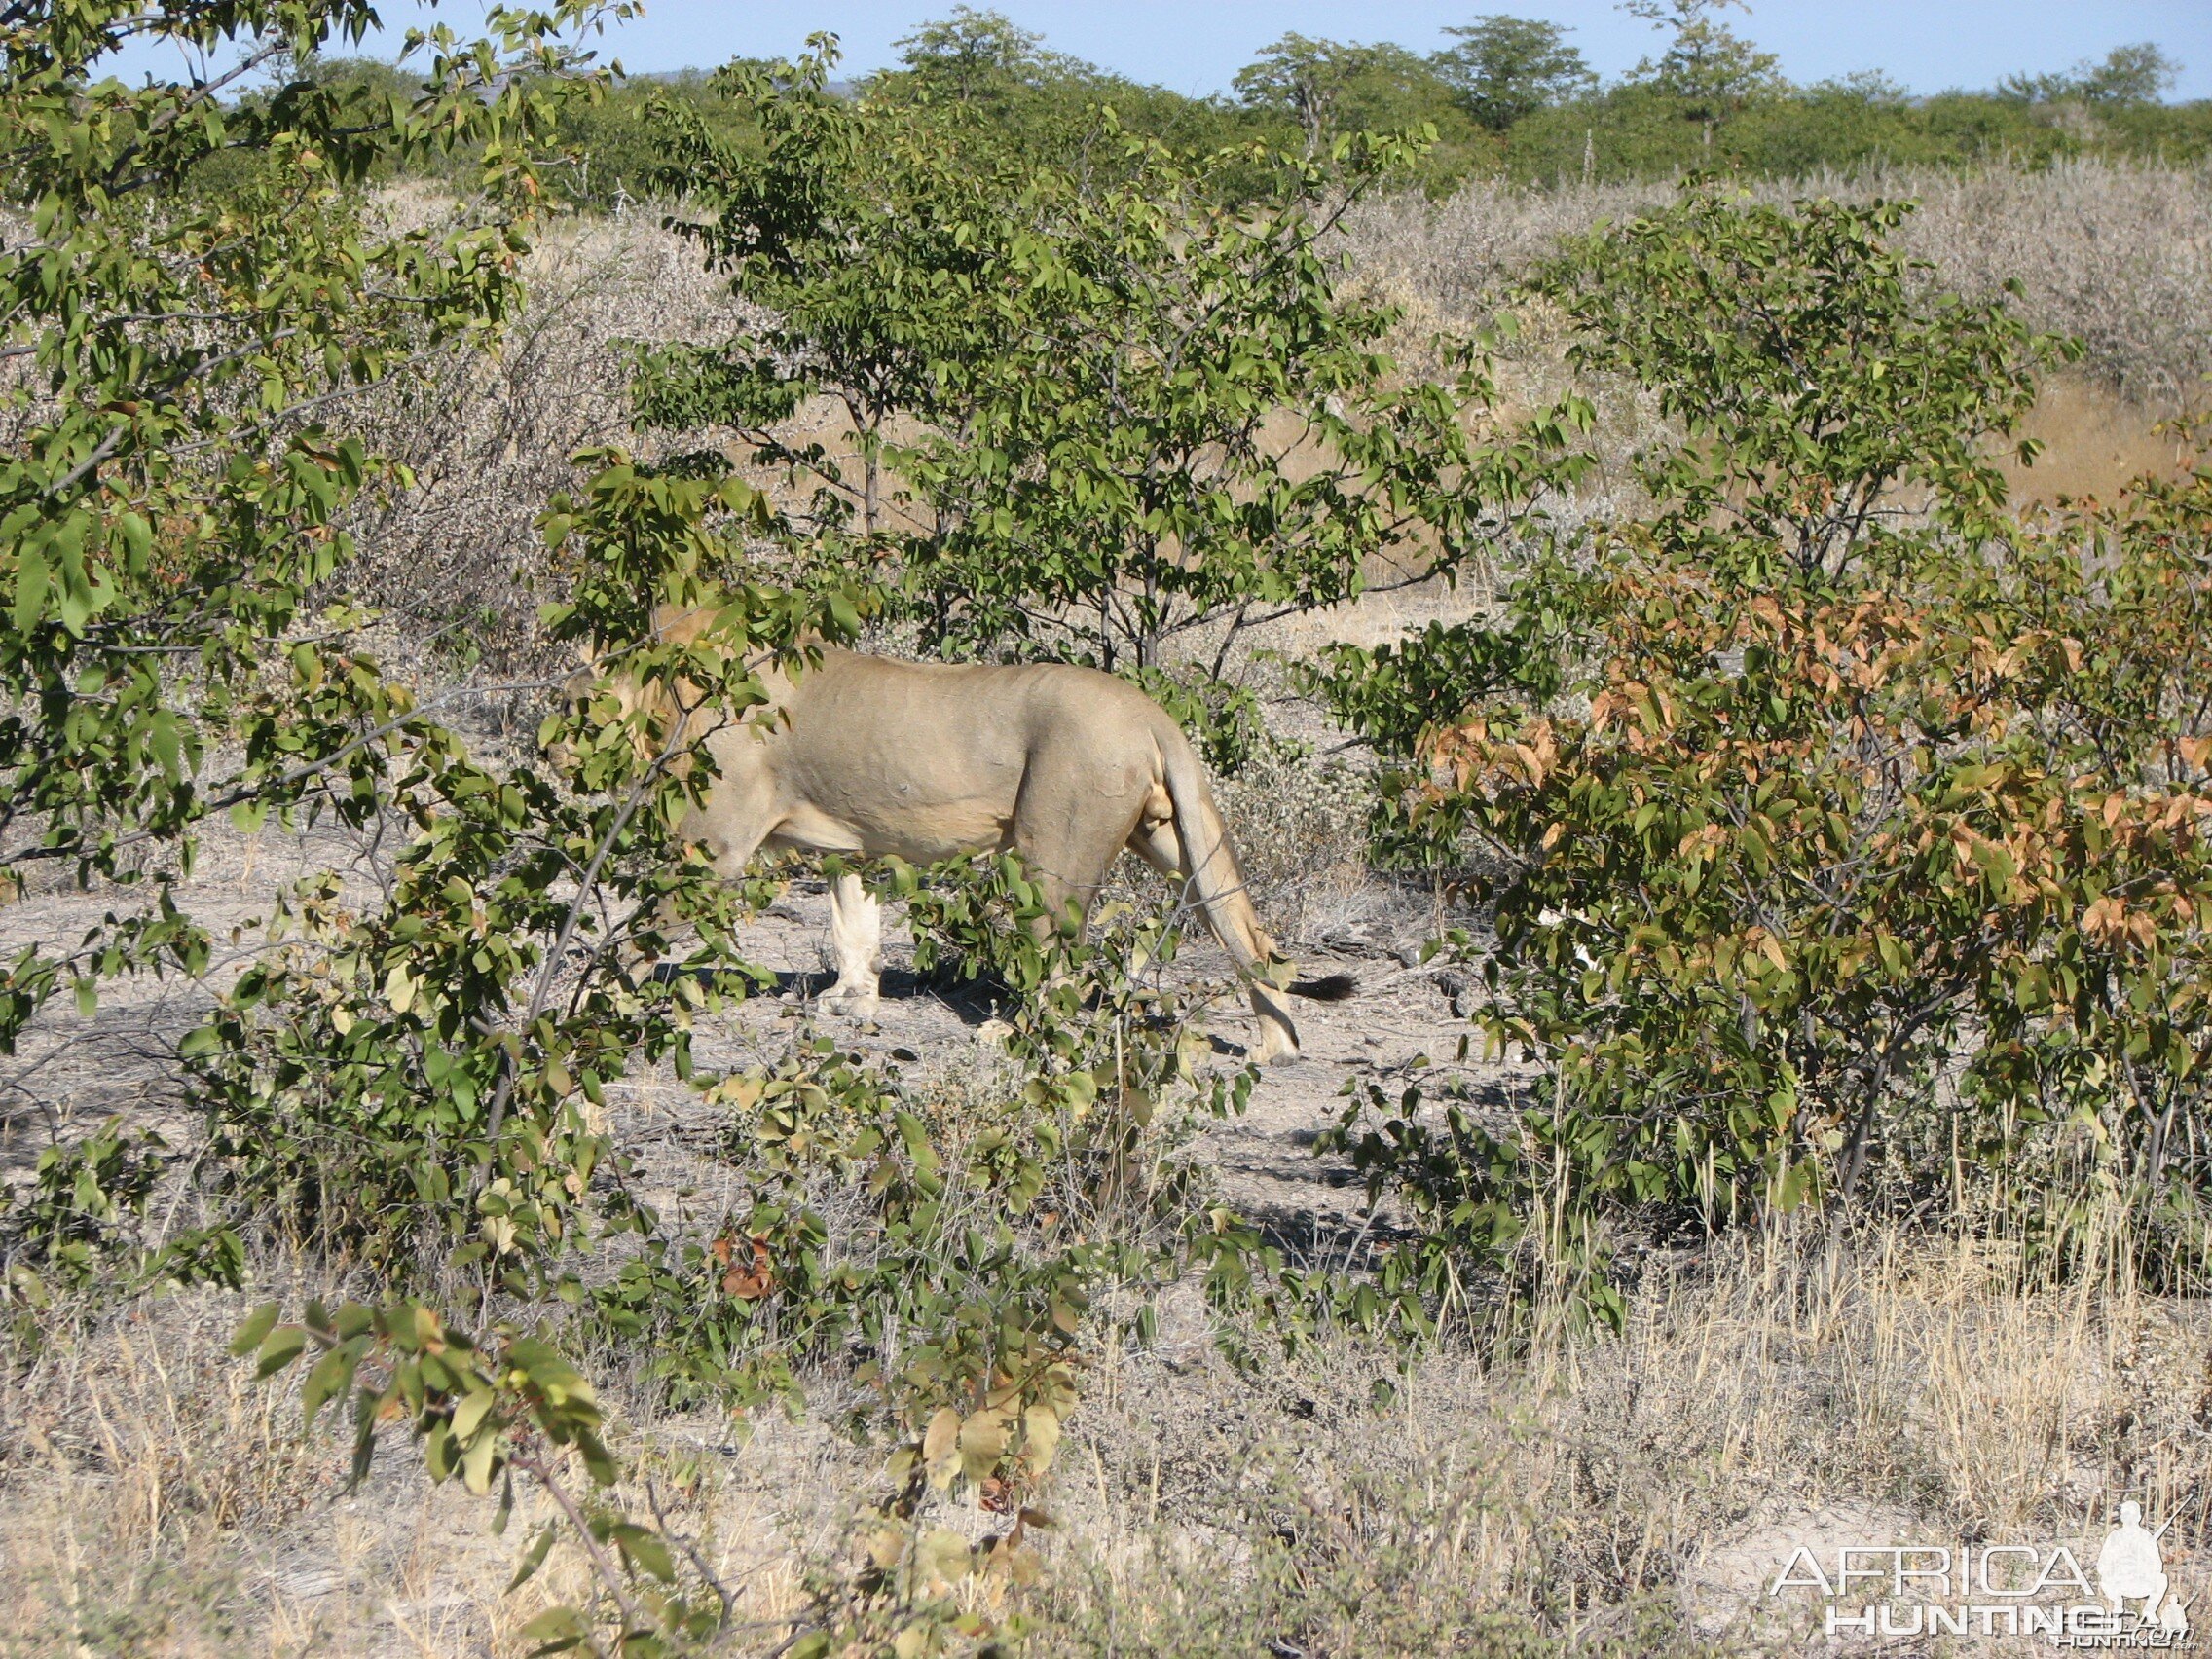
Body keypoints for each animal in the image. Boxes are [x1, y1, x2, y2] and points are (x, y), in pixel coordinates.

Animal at [566, 606, 1345, 1066]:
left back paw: (1012, 1035)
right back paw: (1275, 1045)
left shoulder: (717, 850)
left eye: (583, 690)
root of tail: (1152, 711)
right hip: (1171, 839)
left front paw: (601, 1000)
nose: (553, 740)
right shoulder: (855, 846)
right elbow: (854, 927)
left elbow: (639, 933)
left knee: (1063, 968)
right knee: (1249, 935)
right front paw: (852, 1001)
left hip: (1051, 852)